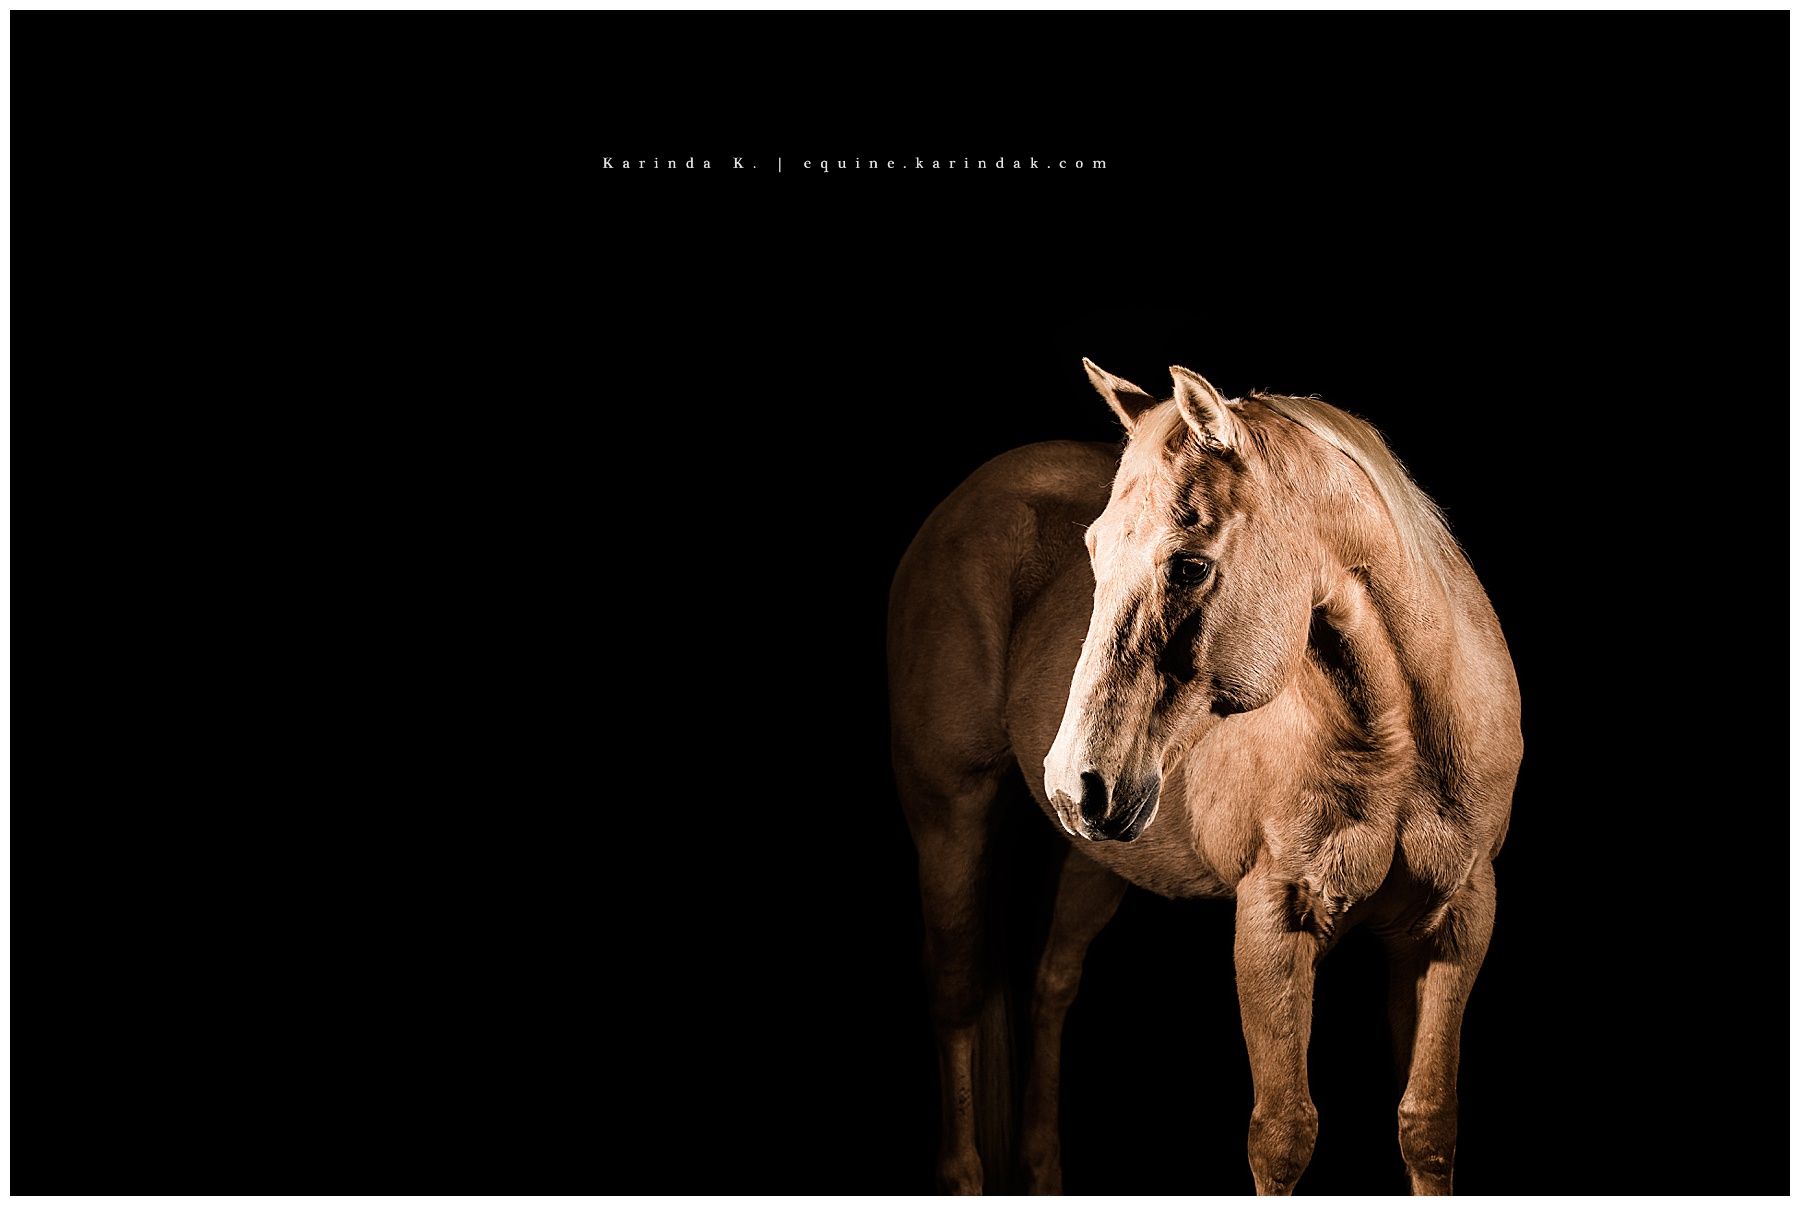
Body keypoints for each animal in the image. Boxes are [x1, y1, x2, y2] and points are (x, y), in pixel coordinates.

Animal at [887, 360, 1521, 1195]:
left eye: (1189, 563)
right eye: (1093, 552)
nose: (1070, 781)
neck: (1402, 742)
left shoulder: (1454, 922)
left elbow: (1426, 1123)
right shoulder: (1273, 920)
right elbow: (1281, 1135)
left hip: (1100, 855)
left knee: (1051, 982)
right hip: (953, 822)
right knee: (957, 992)